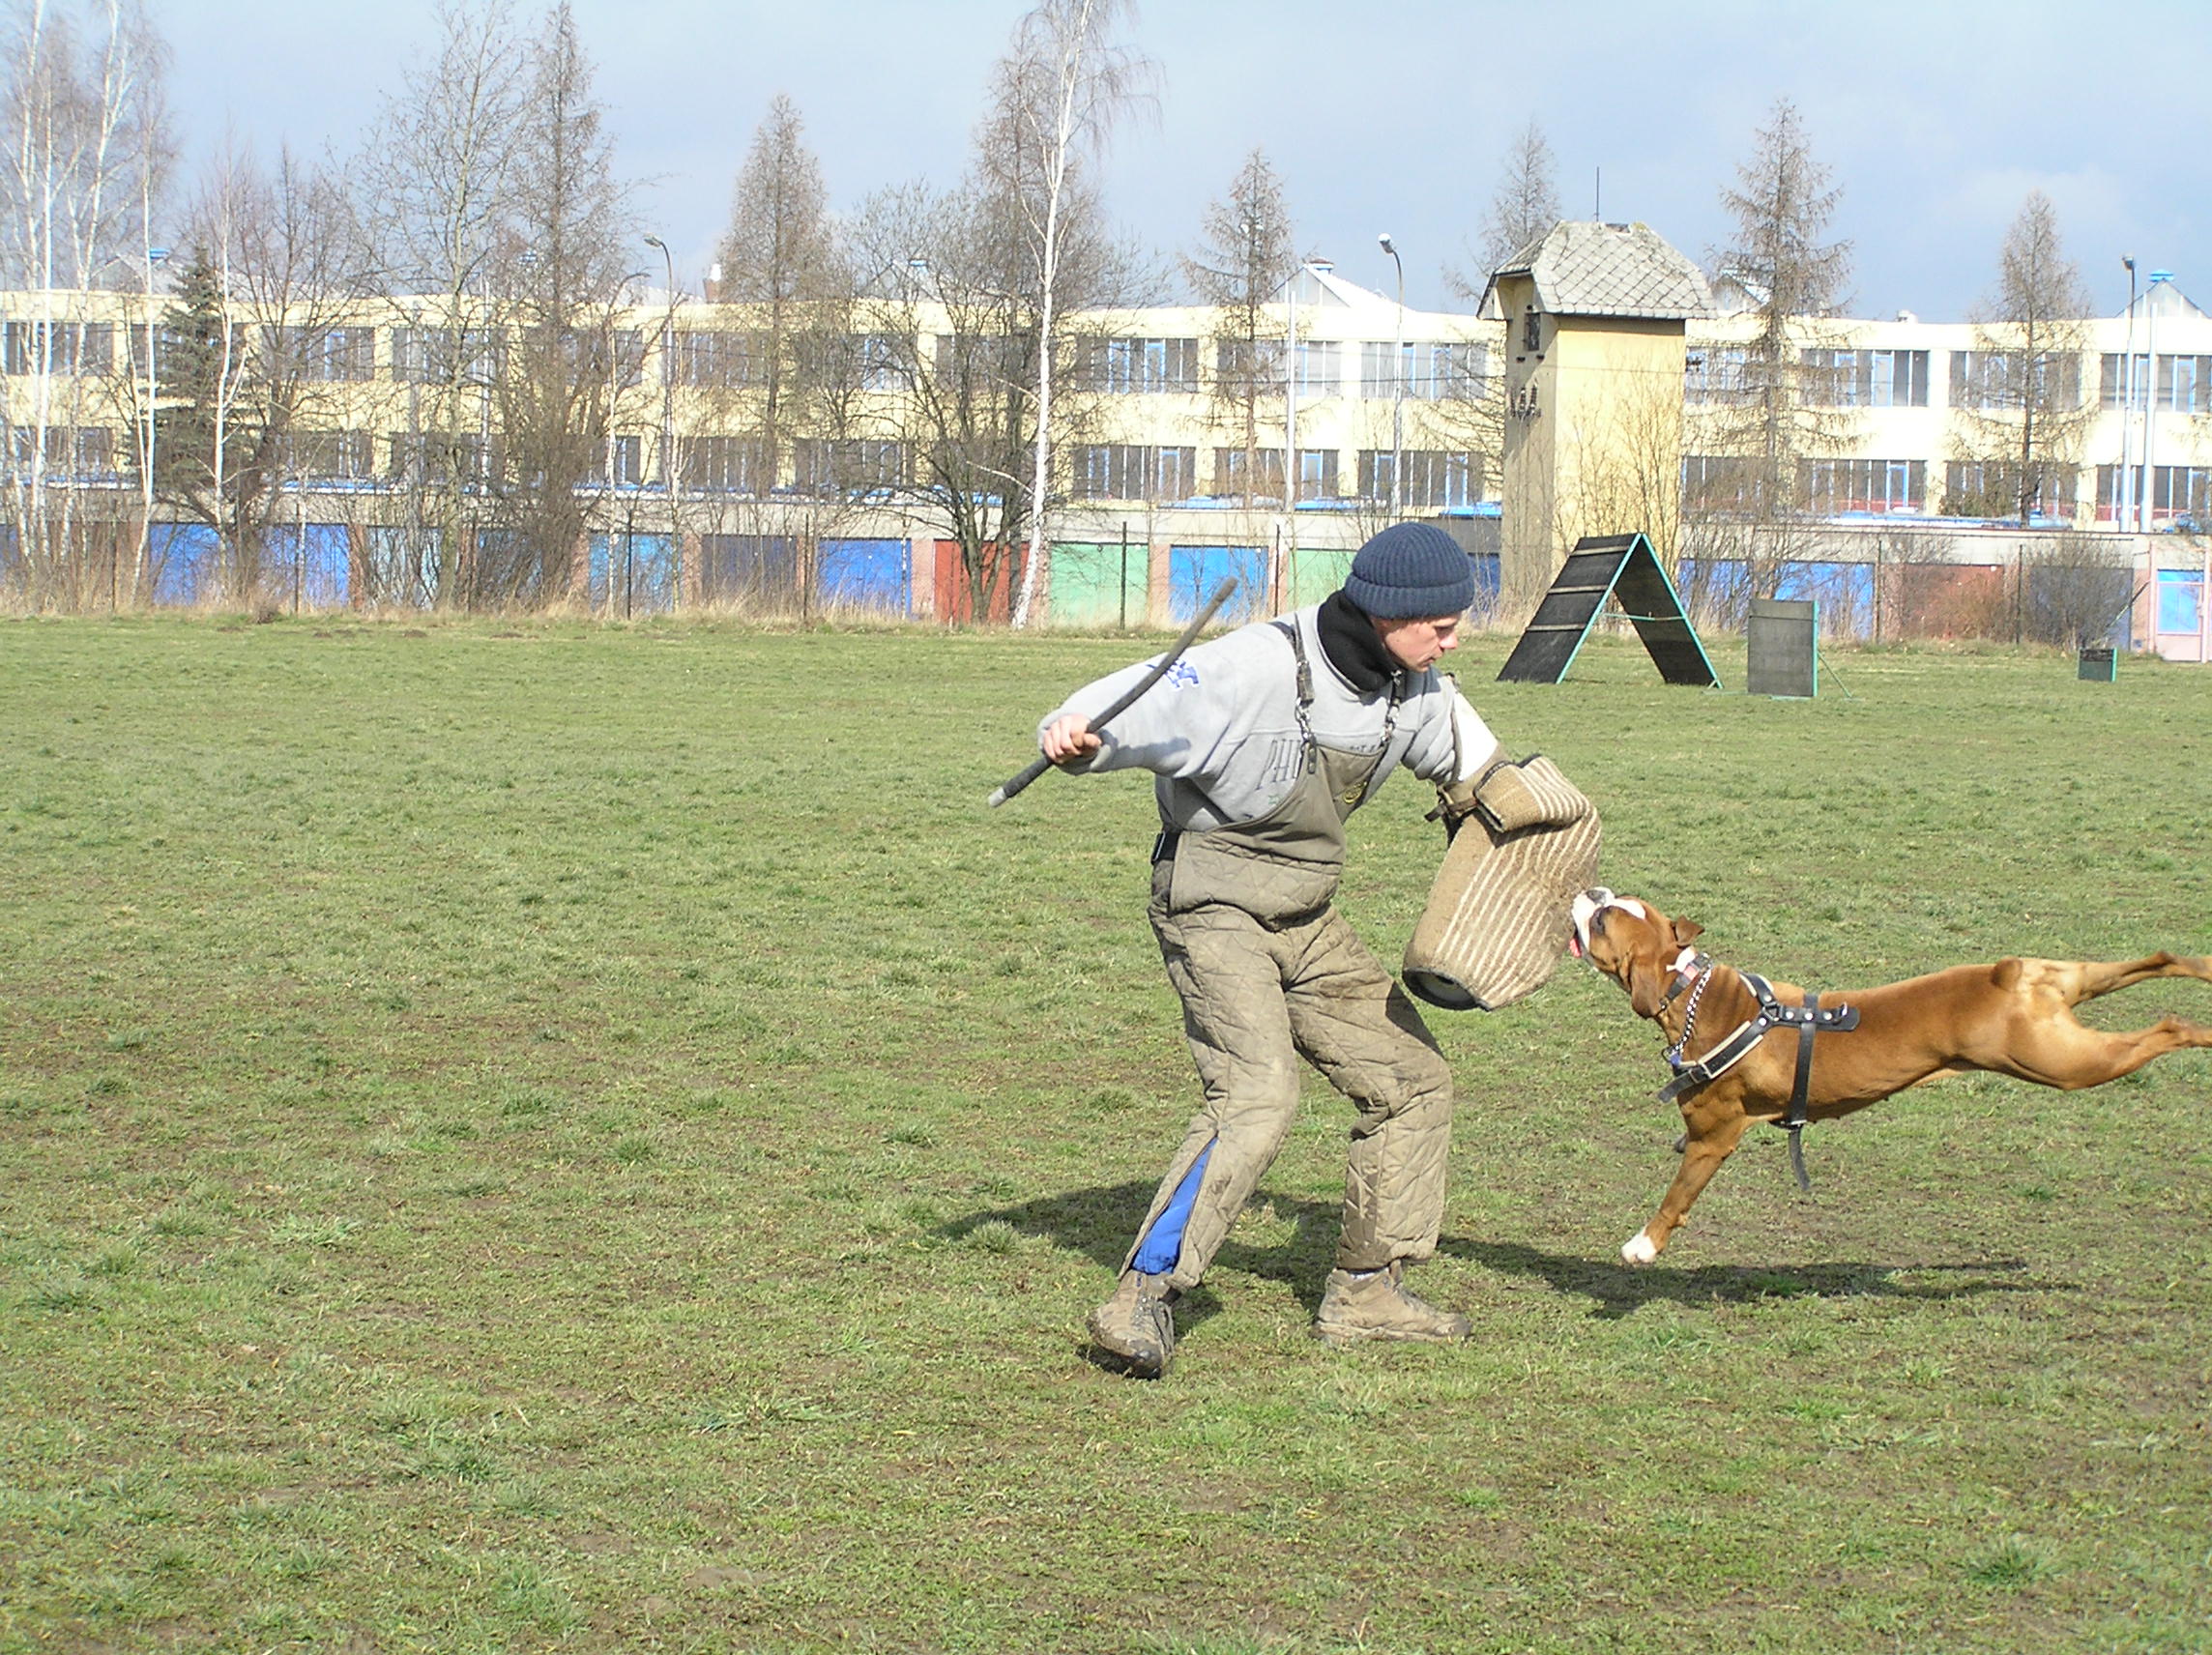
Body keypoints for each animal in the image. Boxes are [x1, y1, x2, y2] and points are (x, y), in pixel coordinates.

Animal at [1565, 893, 2212, 1265]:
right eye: (1617, 901)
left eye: (1602, 920)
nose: (1593, 890)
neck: (1692, 990)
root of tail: (2007, 979)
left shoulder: (1713, 1138)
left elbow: (1677, 1195)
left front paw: (1644, 1245)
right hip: (2071, 988)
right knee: (2155, 961)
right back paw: (2198, 968)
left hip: (2066, 1063)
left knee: (2169, 1026)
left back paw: (2200, 1029)